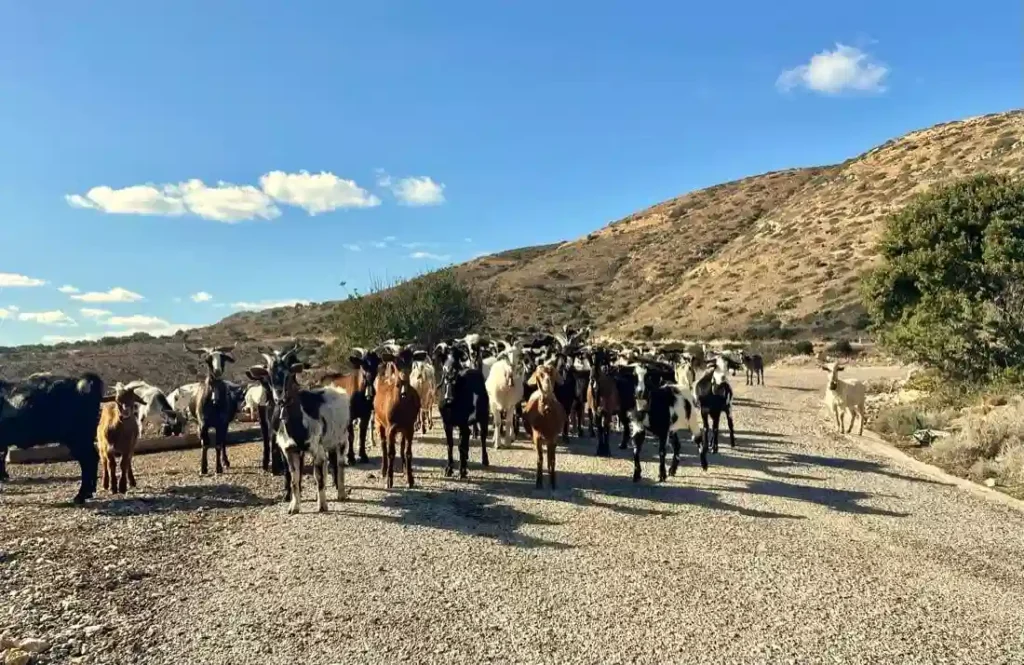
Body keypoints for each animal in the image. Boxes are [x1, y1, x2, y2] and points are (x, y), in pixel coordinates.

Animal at [436, 342, 491, 477]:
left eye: (457, 359)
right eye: (444, 358)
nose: (450, 371)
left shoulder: (462, 423)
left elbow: (461, 446)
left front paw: (462, 470)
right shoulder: (447, 424)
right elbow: (450, 445)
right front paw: (449, 469)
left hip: (484, 416)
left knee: (482, 437)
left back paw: (484, 460)